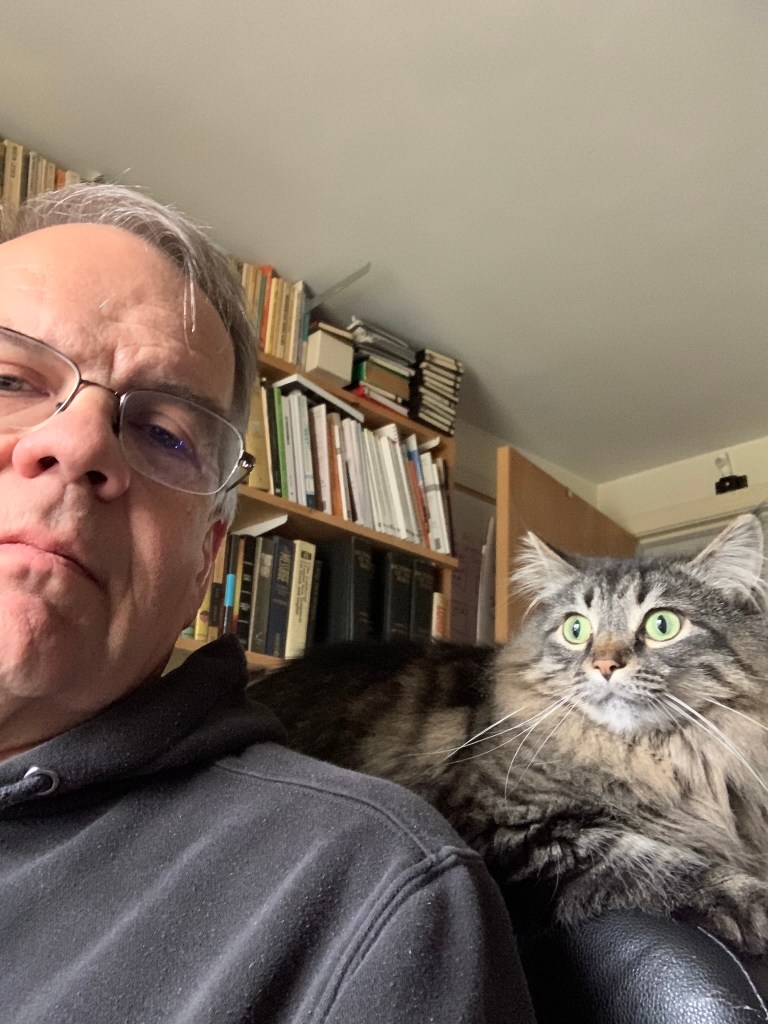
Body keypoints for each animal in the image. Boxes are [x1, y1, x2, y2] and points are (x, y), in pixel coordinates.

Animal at [251, 512, 768, 954]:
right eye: (576, 629)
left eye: (663, 625)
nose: (604, 665)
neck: (648, 758)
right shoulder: (507, 831)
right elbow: (650, 860)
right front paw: (750, 900)